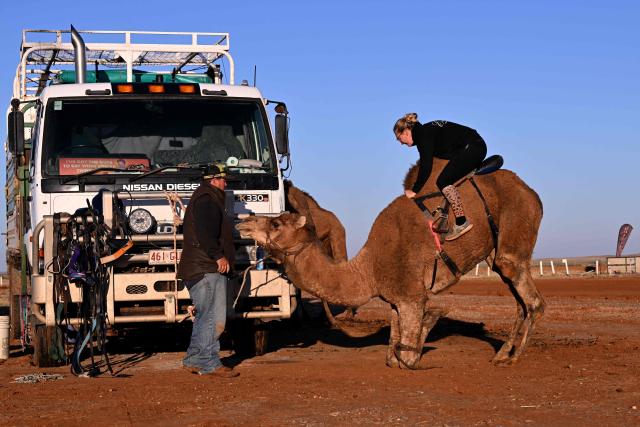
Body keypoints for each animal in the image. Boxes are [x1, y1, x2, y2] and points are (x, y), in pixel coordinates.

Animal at [239, 159, 545, 369]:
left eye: (276, 223)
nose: (245, 222)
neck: (369, 269)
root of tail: (532, 192)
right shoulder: (396, 301)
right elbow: (392, 356)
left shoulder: (411, 296)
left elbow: (406, 357)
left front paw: (431, 323)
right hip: (495, 251)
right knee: (520, 300)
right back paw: (502, 353)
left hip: (515, 230)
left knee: (533, 300)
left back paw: (514, 357)